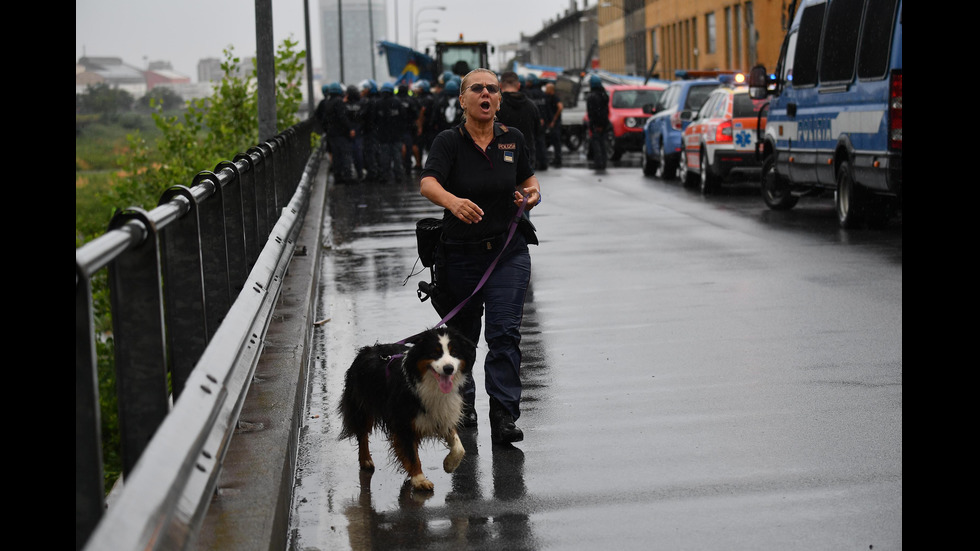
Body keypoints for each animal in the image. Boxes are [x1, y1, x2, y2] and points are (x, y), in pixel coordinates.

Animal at [336, 326, 478, 490]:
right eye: (434, 353)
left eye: (454, 352)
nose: (448, 368)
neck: (430, 384)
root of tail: (366, 350)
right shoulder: (402, 419)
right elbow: (410, 452)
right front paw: (419, 479)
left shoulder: (442, 411)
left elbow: (459, 447)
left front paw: (449, 464)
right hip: (361, 402)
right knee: (362, 433)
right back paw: (366, 460)